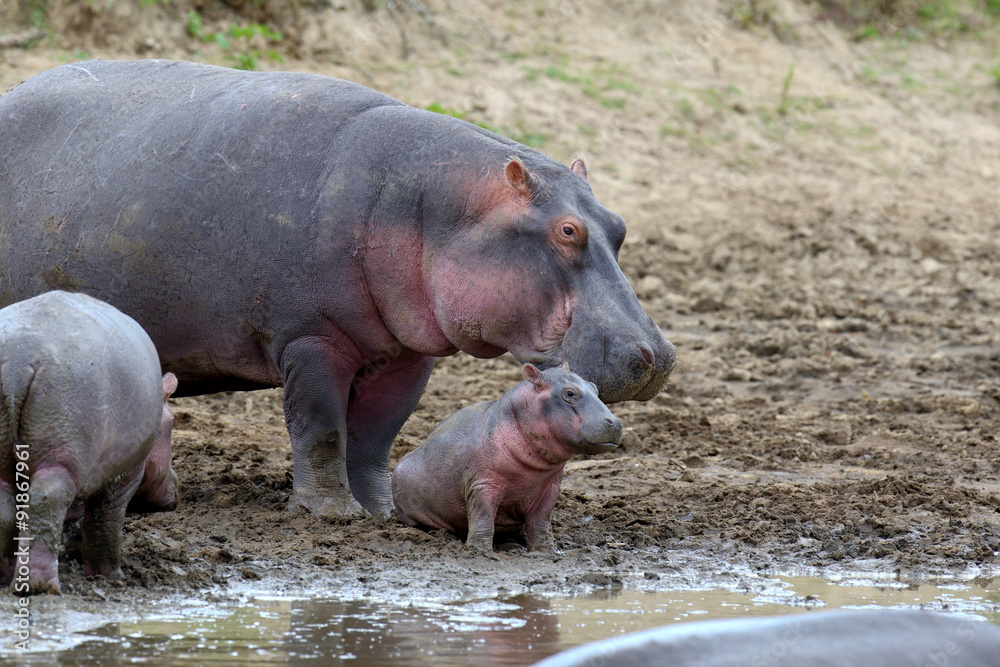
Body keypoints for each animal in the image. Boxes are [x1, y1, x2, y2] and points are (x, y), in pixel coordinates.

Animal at [0, 58, 676, 516]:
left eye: (619, 224)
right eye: (567, 230)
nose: (659, 356)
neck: (434, 207)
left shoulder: (408, 352)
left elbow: (376, 437)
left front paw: (382, 512)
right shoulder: (311, 338)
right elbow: (322, 426)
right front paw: (329, 514)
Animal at [0, 292, 178, 596]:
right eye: (173, 421)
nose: (177, 483)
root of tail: (17, 363)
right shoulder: (126, 472)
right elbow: (105, 520)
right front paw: (111, 576)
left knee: (5, 510)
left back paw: (6, 579)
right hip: (61, 454)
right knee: (46, 500)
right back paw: (40, 586)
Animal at [388, 366, 616, 552]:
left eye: (595, 387)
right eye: (569, 393)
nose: (615, 422)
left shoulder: (550, 487)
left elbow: (541, 522)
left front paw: (547, 551)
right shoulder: (483, 486)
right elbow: (483, 519)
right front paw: (479, 551)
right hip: (413, 511)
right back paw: (445, 536)